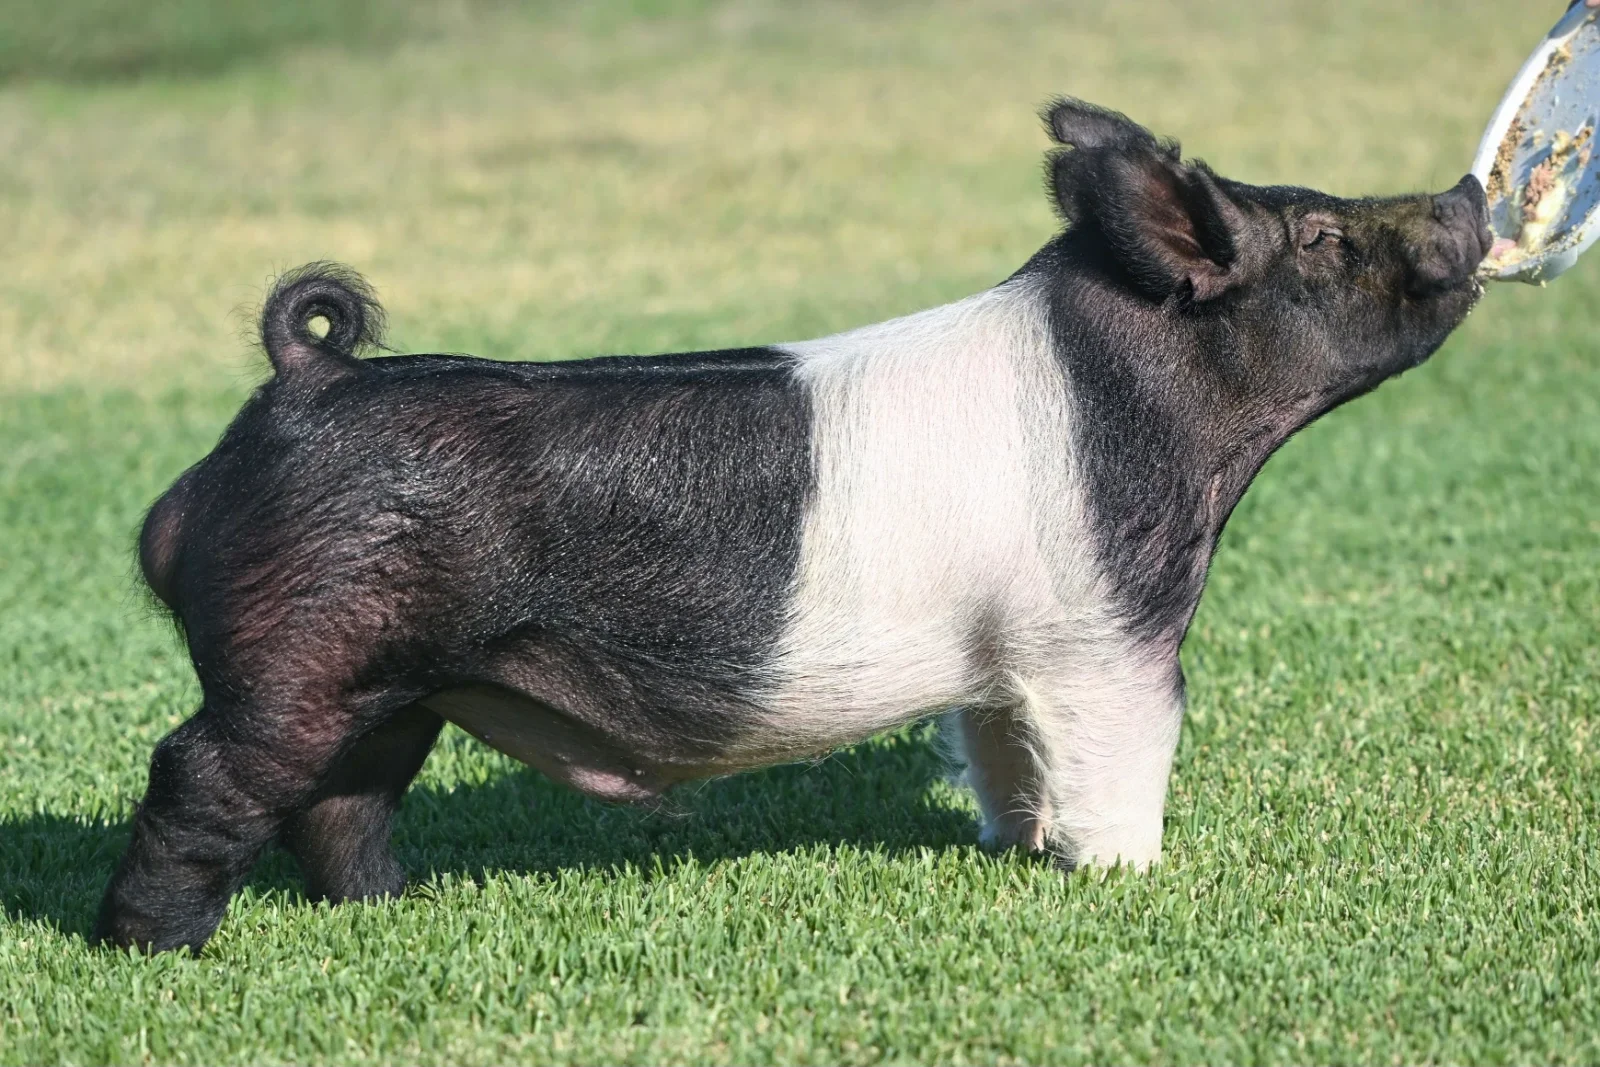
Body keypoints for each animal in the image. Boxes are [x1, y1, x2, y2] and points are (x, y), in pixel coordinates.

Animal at [95, 99, 1492, 952]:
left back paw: (395, 907)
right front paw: (1123, 879)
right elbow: (1123, 753)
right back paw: (155, 947)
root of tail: (305, 377)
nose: (1464, 198)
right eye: (1319, 236)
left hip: (390, 681)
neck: (1169, 419)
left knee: (343, 801)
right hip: (298, 652)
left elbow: (1002, 753)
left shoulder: (1006, 660)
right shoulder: (1108, 630)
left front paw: (1019, 849)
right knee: (198, 769)